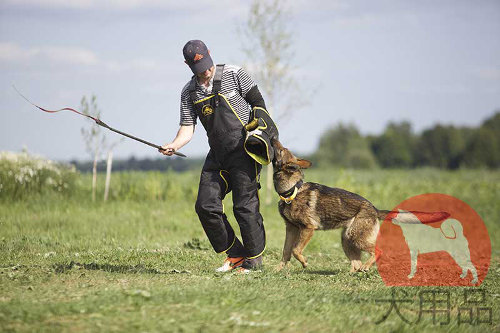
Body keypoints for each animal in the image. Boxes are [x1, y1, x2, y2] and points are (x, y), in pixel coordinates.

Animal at [270, 139, 390, 272]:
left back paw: (366, 266)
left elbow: (295, 250)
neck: (292, 190)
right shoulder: (291, 228)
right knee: (356, 264)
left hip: (356, 237)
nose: (273, 139)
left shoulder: (308, 228)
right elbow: (286, 251)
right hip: (346, 240)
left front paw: (304, 262)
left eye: (281, 150)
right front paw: (276, 270)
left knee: (378, 251)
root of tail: (375, 209)